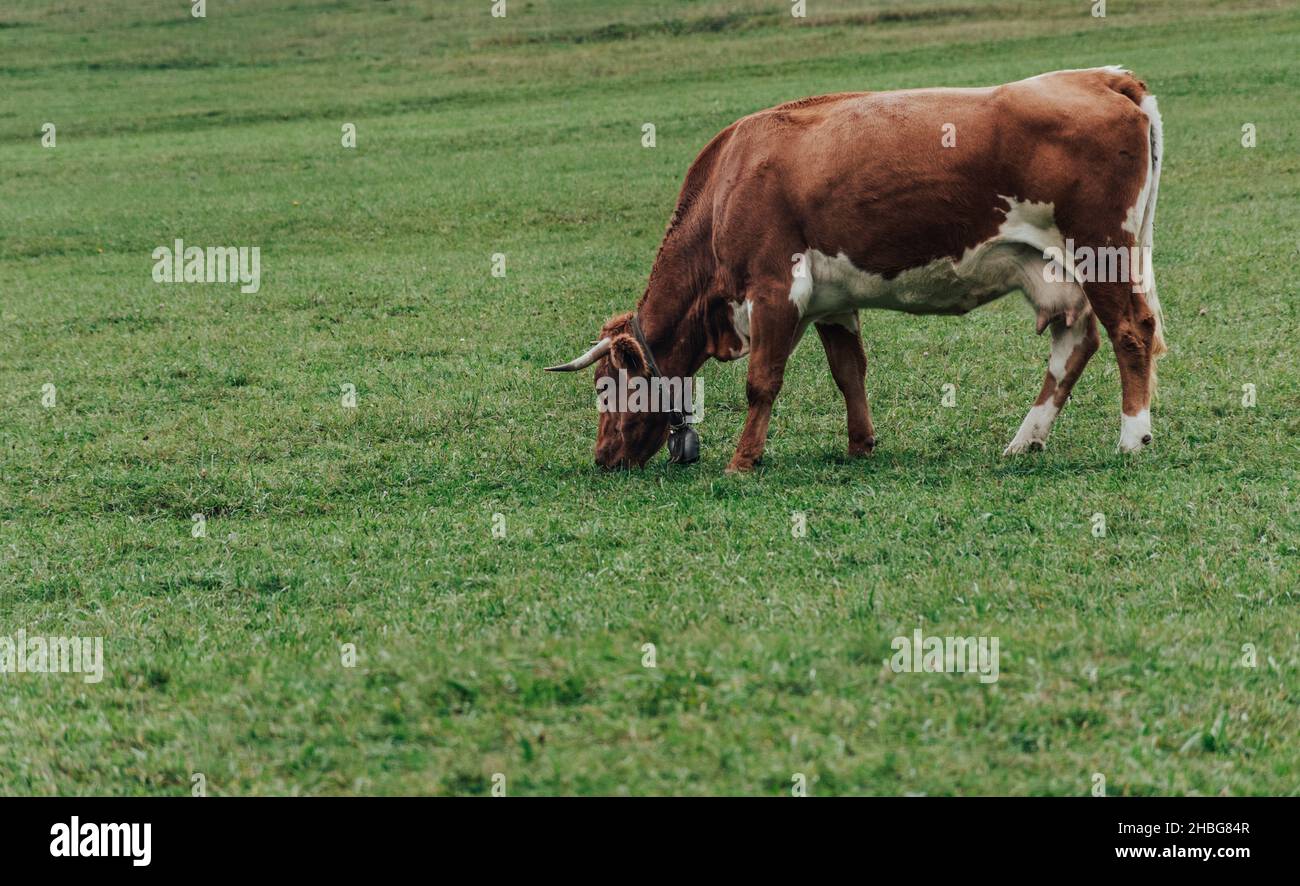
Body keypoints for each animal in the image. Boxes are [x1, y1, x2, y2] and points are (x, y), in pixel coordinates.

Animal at [547, 67, 1166, 472]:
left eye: (607, 386)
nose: (602, 457)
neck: (728, 180)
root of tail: (1100, 76)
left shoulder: (775, 288)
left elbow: (762, 382)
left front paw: (742, 461)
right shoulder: (832, 300)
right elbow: (849, 372)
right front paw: (859, 445)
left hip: (1103, 252)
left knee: (1131, 331)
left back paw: (1133, 437)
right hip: (1058, 267)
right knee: (1075, 343)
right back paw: (1025, 441)